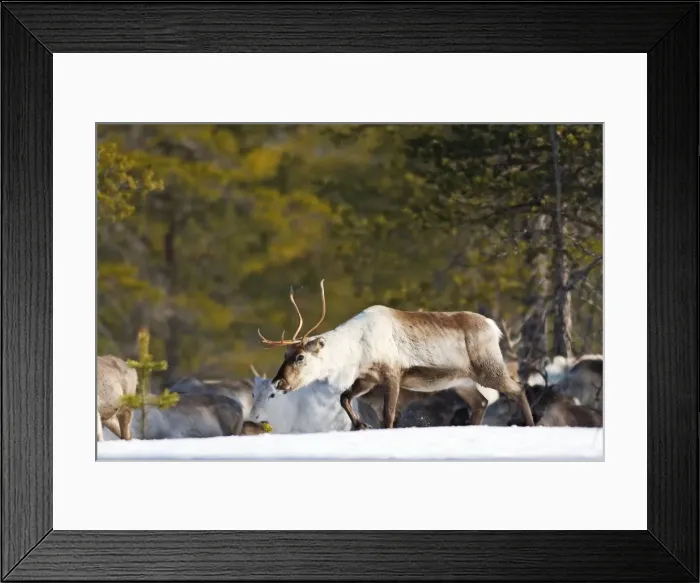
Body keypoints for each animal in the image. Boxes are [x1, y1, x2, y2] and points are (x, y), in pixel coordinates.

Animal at [257, 280, 535, 430]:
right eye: (285, 354)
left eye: (300, 357)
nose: (278, 382)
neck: (356, 347)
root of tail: (494, 326)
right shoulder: (368, 377)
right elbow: (344, 397)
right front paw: (360, 425)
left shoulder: (392, 373)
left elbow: (388, 415)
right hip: (461, 381)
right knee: (481, 402)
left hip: (488, 368)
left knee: (517, 388)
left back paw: (530, 424)